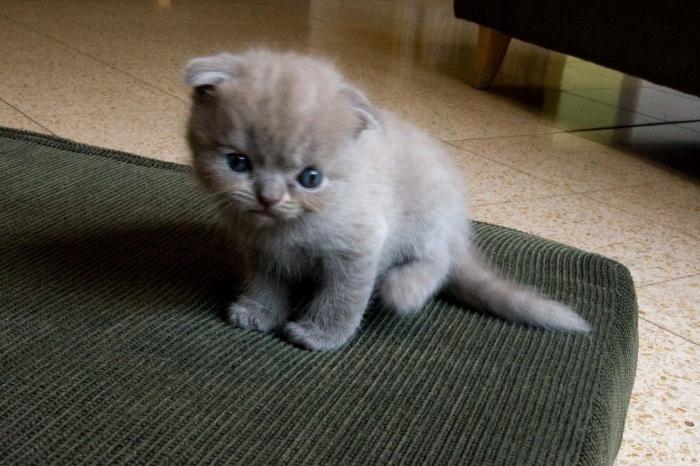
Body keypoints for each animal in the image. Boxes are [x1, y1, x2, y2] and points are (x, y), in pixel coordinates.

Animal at [186, 50, 592, 350]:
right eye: (238, 163)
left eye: (311, 178)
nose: (268, 198)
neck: (286, 231)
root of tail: (458, 226)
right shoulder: (260, 252)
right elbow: (265, 283)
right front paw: (258, 312)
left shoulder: (359, 247)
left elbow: (343, 298)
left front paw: (321, 335)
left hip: (427, 221)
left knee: (439, 262)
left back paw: (403, 289)